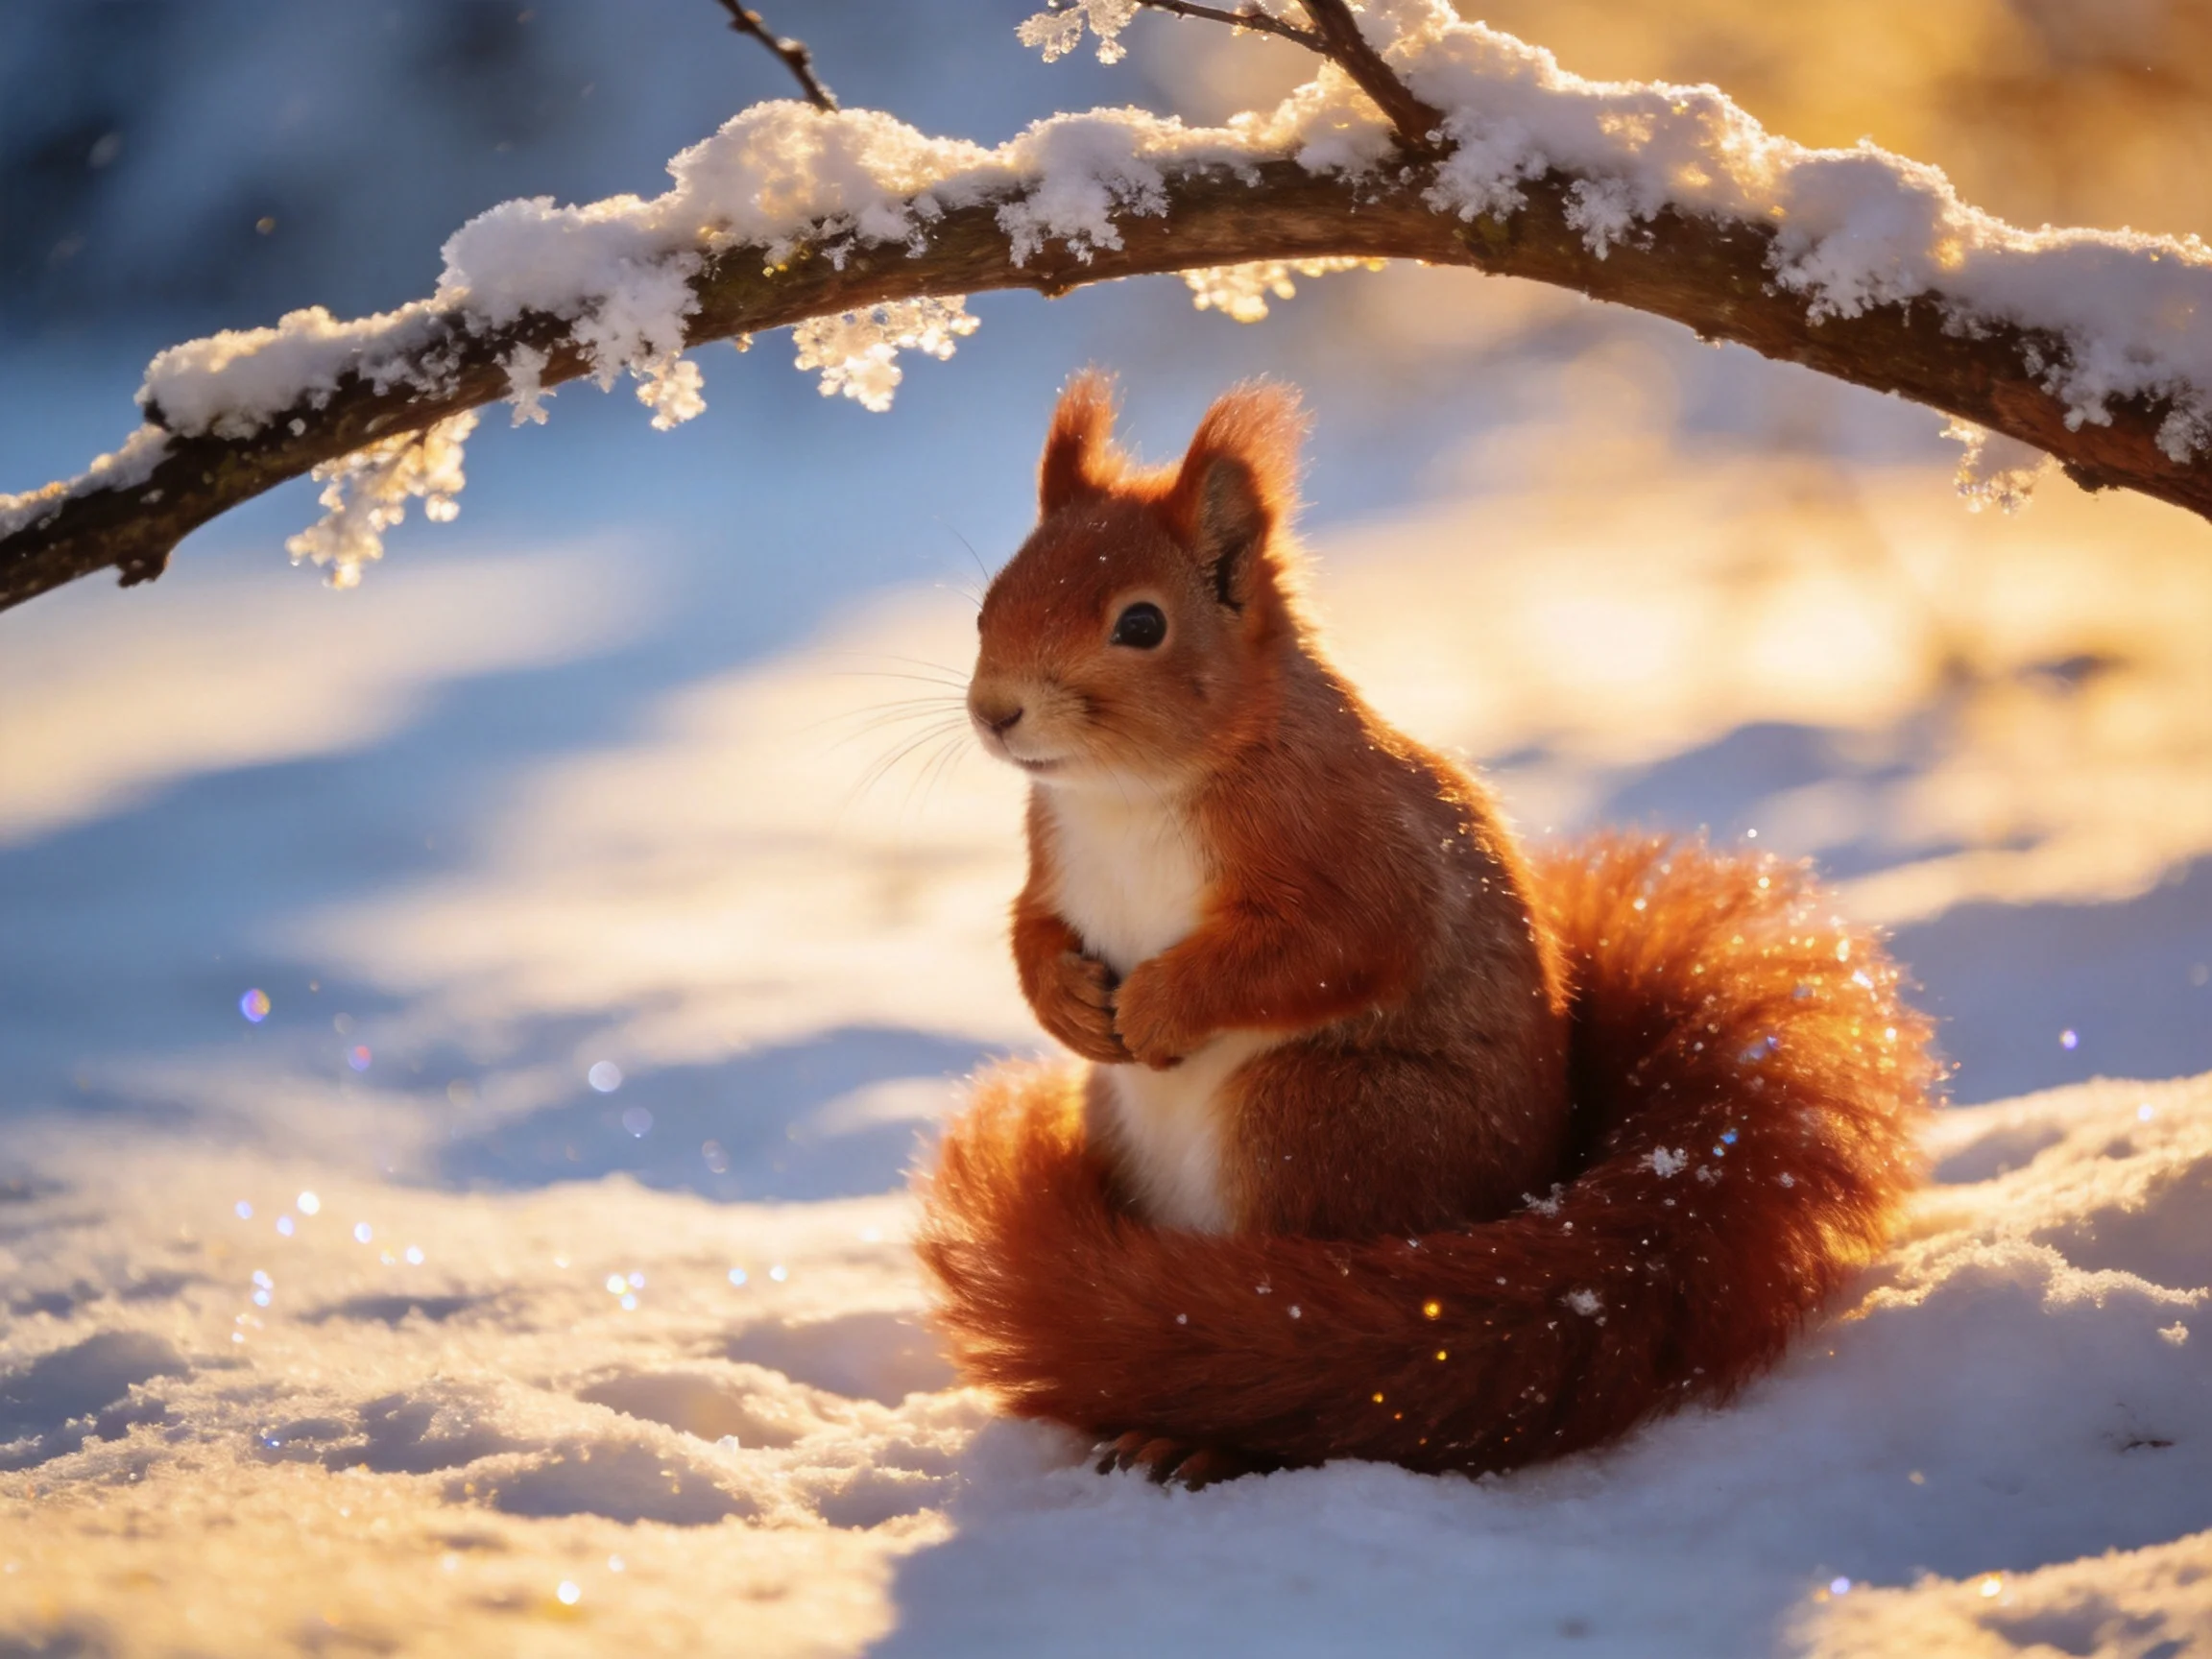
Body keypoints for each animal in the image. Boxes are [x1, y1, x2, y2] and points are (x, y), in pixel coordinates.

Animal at [918, 373, 1933, 1487]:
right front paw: (1065, 1000)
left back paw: (1202, 1432)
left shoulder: (1349, 850)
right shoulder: (1051, 859)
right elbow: (1031, 928)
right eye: (988, 604)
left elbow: (1334, 947)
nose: (996, 711)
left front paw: (1158, 1006)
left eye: (1141, 623)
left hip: (1319, 1122)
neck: (1127, 795)